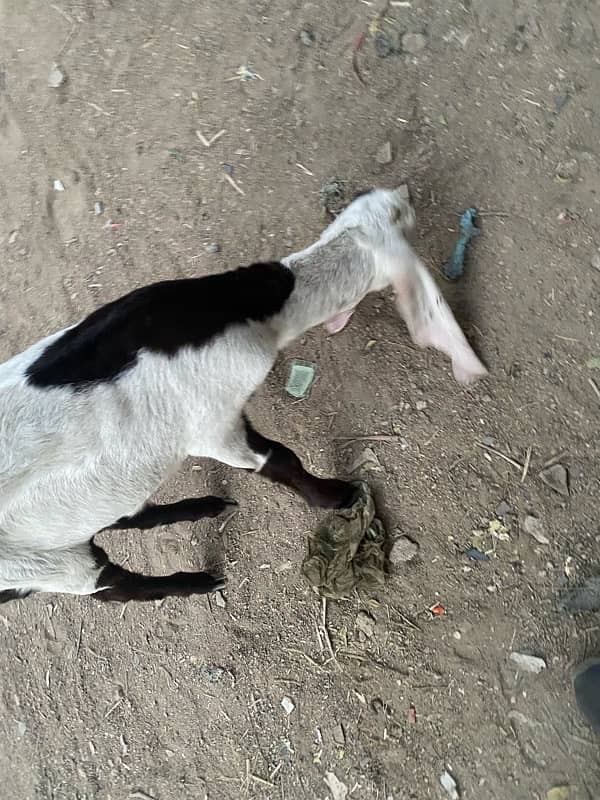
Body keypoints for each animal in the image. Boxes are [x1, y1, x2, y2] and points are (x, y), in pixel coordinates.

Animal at [0, 188, 488, 604]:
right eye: (400, 216)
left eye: (380, 204)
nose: (406, 192)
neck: (243, 310)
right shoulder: (213, 426)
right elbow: (280, 459)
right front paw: (339, 497)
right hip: (40, 563)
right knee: (111, 586)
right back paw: (196, 582)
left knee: (123, 516)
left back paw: (204, 507)